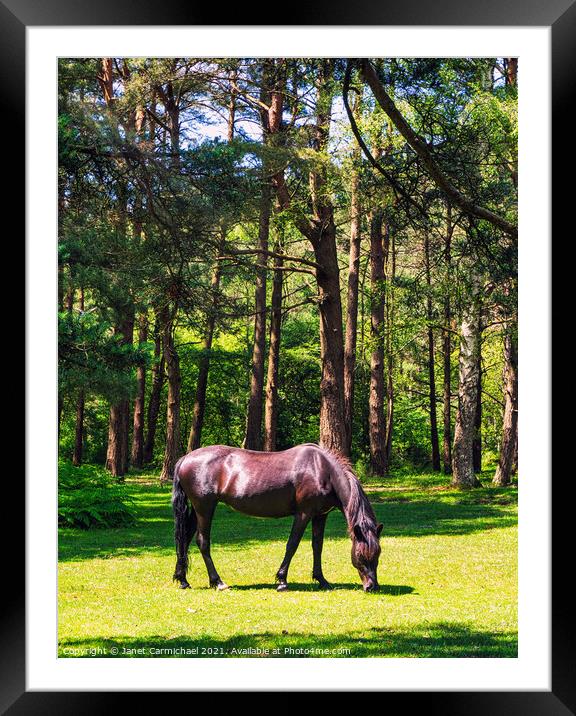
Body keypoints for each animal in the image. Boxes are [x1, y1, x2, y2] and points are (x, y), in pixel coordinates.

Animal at [171, 444, 382, 592]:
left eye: (378, 554)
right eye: (361, 554)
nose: (372, 587)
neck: (322, 470)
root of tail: (185, 458)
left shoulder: (320, 516)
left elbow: (317, 546)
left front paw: (321, 580)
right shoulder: (303, 514)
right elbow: (292, 544)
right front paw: (282, 580)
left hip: (197, 510)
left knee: (185, 539)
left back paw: (183, 580)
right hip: (205, 508)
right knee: (202, 541)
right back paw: (218, 581)